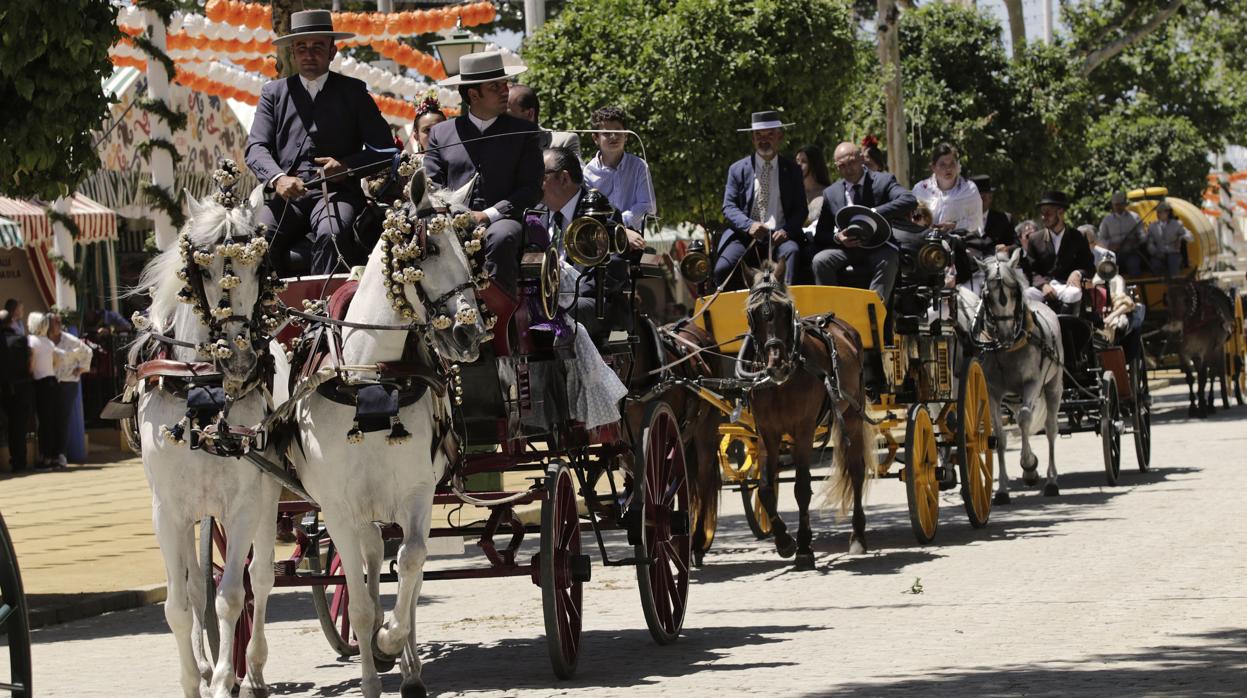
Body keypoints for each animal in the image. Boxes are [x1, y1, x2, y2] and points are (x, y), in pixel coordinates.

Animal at [134, 178, 285, 693]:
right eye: (201, 266)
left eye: (259, 266)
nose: (239, 359)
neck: (204, 387)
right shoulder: (167, 510)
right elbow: (180, 604)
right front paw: (192, 680)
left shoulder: (242, 504)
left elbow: (232, 595)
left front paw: (222, 681)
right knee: (198, 583)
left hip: (269, 494)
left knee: (261, 577)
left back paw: (253, 668)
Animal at [276, 170, 486, 698]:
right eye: (426, 248)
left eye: (471, 248)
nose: (469, 334)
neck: (371, 375)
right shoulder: (336, 507)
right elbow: (359, 600)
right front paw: (372, 671)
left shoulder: (415, 493)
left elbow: (411, 564)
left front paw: (393, 640)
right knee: (367, 558)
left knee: (401, 564)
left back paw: (407, 665)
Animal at [733, 260, 872, 568]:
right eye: (752, 314)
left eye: (786, 310)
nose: (776, 363)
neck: (782, 383)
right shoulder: (766, 432)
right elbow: (765, 487)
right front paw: (784, 541)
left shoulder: (804, 430)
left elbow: (802, 487)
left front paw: (805, 547)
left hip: (853, 416)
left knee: (856, 471)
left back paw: (858, 536)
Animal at [967, 250, 1067, 501]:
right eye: (987, 295)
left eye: (1013, 292)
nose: (1005, 334)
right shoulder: (993, 391)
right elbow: (999, 437)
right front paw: (1002, 489)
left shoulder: (1032, 383)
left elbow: (1024, 418)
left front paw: (1029, 466)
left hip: (1053, 386)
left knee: (1050, 428)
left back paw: (1051, 481)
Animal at [1162, 280, 1232, 416]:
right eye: (1167, 301)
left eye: (1185, 300)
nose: (1175, 332)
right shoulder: (1182, 352)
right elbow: (1190, 378)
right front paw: (1193, 406)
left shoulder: (1207, 350)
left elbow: (1204, 377)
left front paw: (1203, 409)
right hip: (1196, 354)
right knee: (1201, 373)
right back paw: (1202, 401)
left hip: (1217, 349)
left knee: (1213, 374)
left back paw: (1211, 404)